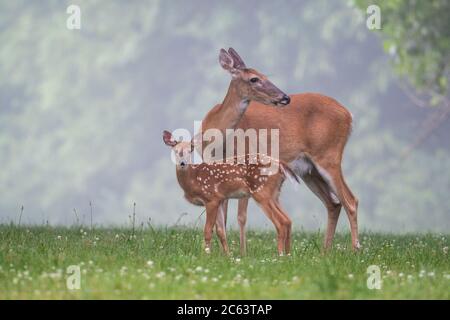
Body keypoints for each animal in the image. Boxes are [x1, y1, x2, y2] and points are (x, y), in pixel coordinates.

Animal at [199, 48, 360, 252]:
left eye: (265, 76)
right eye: (254, 79)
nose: (285, 97)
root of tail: (349, 115)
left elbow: (241, 217)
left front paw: (242, 253)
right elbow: (223, 218)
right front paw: (224, 253)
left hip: (328, 155)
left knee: (350, 200)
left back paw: (355, 249)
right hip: (309, 170)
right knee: (334, 203)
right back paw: (325, 251)